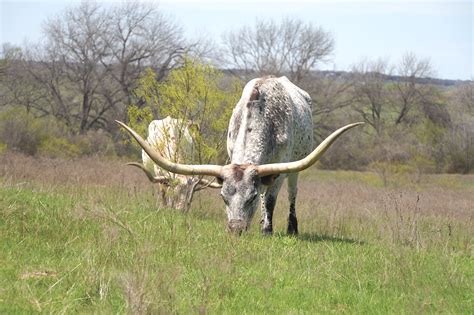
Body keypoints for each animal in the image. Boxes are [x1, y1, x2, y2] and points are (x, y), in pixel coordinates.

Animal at [118, 76, 362, 235]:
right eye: (223, 197)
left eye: (250, 197)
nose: (235, 229)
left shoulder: (280, 169)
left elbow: (270, 199)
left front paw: (267, 230)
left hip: (295, 167)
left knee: (292, 193)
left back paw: (290, 228)